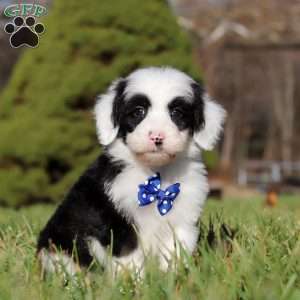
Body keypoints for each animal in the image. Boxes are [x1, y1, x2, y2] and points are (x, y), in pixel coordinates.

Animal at [37, 67, 225, 276]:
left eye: (177, 112)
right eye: (138, 112)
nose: (157, 137)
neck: (156, 176)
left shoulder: (183, 218)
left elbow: (175, 253)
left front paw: (174, 278)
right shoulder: (117, 220)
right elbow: (129, 257)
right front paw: (134, 282)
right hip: (59, 248)